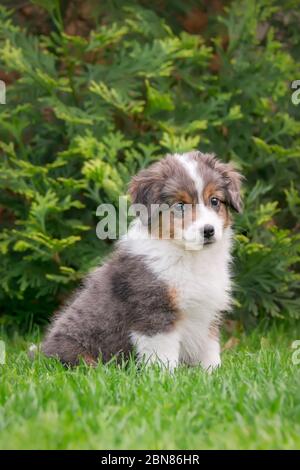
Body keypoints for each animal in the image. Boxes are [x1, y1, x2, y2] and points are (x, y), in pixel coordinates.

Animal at [42, 151, 243, 370]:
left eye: (214, 201)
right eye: (180, 205)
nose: (208, 231)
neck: (190, 257)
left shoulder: (207, 314)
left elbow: (209, 351)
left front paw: (212, 373)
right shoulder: (155, 312)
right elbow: (163, 355)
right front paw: (165, 376)